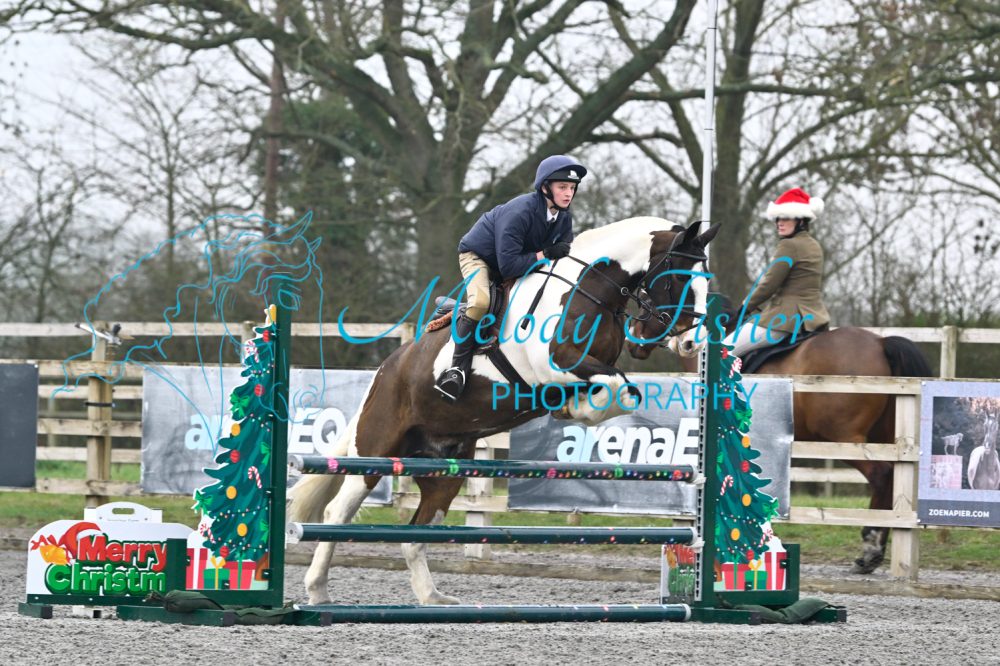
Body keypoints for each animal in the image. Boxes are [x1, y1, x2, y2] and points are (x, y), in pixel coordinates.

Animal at [289, 218, 720, 605]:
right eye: (678, 280)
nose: (690, 344)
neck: (591, 288)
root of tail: (384, 370)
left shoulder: (590, 367)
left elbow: (622, 392)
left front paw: (574, 408)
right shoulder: (556, 365)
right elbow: (616, 387)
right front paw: (574, 409)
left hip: (445, 469)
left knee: (415, 535)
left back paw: (433, 598)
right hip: (376, 452)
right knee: (337, 513)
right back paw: (318, 590)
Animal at [630, 294, 933, 574]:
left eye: (646, 302)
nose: (632, 342)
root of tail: (880, 343)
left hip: (846, 438)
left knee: (881, 476)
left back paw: (870, 548)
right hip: (882, 436)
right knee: (892, 481)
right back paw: (874, 553)